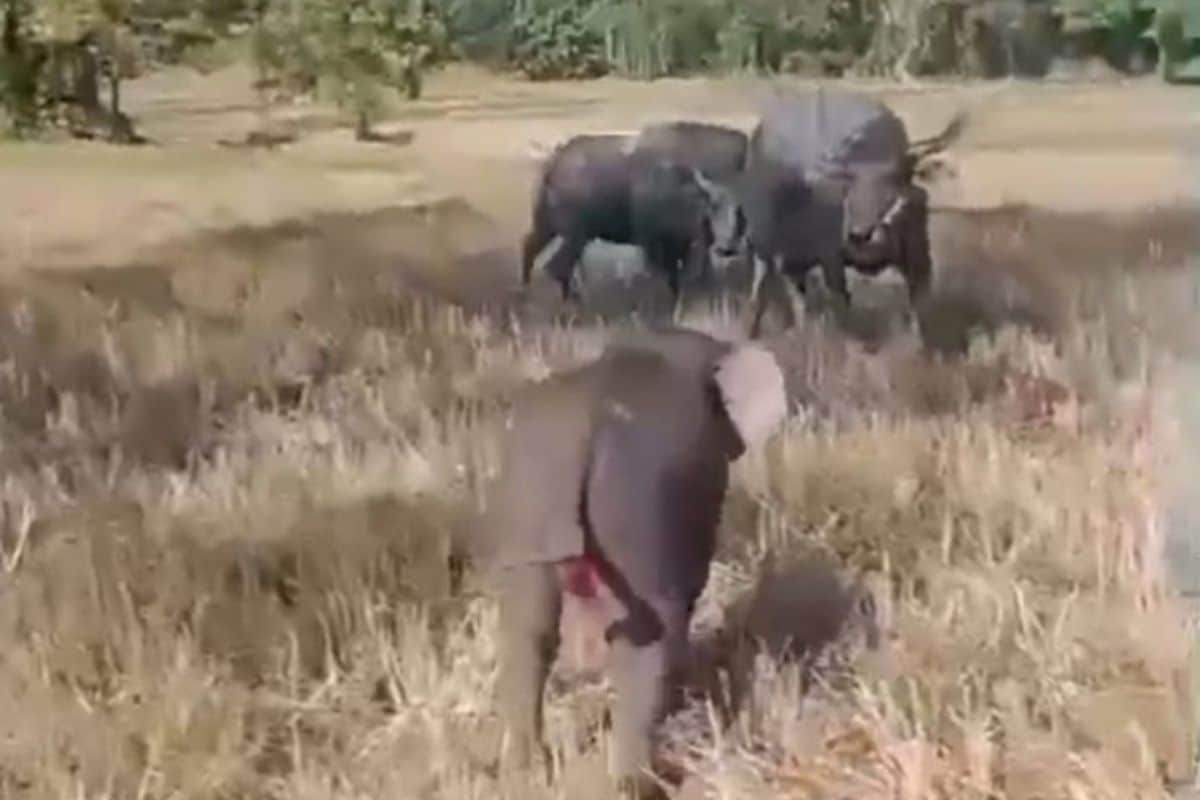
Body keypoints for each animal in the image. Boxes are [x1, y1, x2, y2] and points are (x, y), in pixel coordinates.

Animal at [479, 325, 788, 795]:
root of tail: (585, 428)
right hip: (638, 499)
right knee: (648, 636)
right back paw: (635, 783)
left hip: (525, 498)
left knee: (527, 629)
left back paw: (526, 776)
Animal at [520, 133, 742, 305]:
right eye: (713, 206)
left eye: (738, 211)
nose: (727, 247)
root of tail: (554, 162)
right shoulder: (650, 242)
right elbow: (660, 273)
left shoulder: (679, 245)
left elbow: (675, 274)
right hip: (577, 235)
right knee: (556, 266)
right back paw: (574, 299)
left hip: (546, 226)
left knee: (531, 249)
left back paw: (527, 290)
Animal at [740, 87, 967, 336]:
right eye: (850, 183)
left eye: (893, 180)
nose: (860, 234)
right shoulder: (829, 258)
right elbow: (840, 303)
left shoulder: (919, 255)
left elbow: (920, 308)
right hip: (768, 248)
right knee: (765, 287)